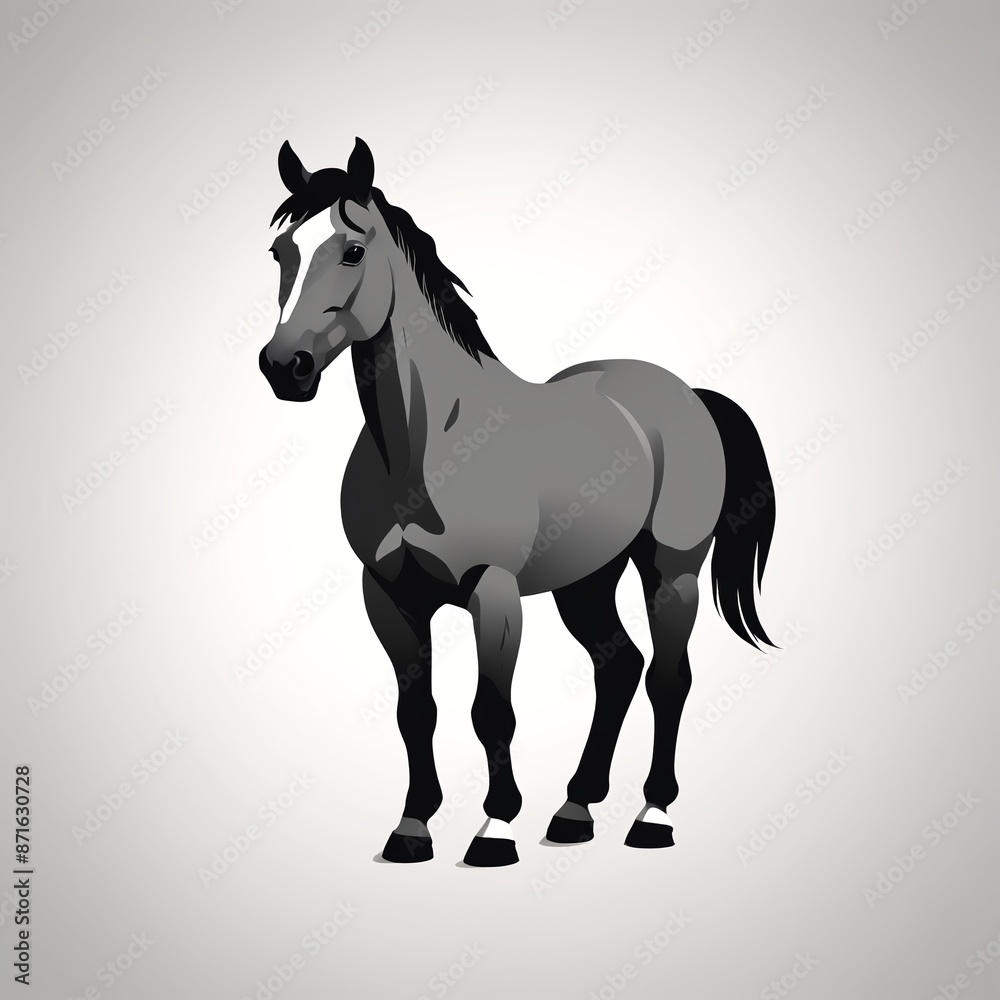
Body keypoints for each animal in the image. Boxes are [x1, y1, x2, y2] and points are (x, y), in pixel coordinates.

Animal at [259, 137, 777, 867]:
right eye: (281, 251)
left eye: (352, 250)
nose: (285, 367)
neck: (430, 443)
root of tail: (685, 392)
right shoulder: (388, 594)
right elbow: (416, 712)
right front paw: (412, 828)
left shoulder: (493, 591)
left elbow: (490, 711)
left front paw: (494, 829)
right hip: (586, 581)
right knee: (619, 667)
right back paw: (574, 810)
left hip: (671, 570)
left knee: (668, 677)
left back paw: (652, 815)